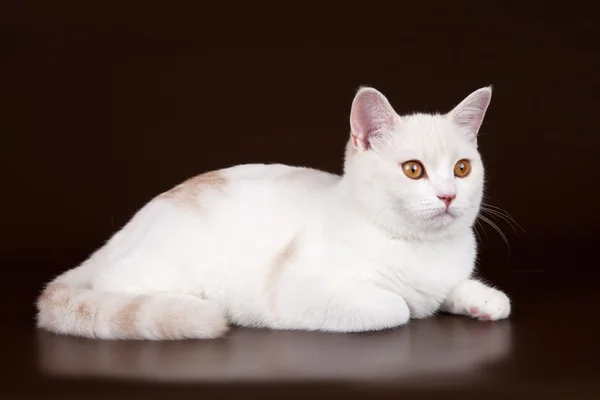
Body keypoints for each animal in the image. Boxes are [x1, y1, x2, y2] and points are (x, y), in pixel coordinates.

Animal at [34, 86, 510, 340]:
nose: (448, 195)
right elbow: (397, 307)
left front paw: (481, 300)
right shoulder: (299, 288)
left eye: (462, 168)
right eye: (414, 170)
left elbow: (453, 290)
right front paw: (412, 305)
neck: (418, 247)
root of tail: (122, 234)